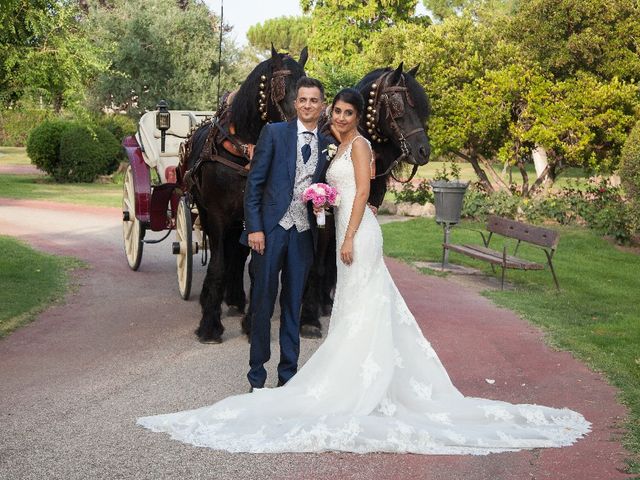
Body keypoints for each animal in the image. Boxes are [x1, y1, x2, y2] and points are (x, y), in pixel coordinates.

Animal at [179, 47, 308, 344]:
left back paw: (236, 299)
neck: (244, 151)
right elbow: (217, 265)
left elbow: (253, 267)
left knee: (236, 255)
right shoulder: (217, 215)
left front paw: (252, 323)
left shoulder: (255, 216)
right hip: (207, 212)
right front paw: (210, 325)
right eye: (280, 86)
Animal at [298, 62, 432, 338]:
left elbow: (333, 261)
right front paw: (309, 319)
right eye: (398, 105)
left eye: (423, 107)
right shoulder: (324, 215)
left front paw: (325, 305)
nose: (423, 151)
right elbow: (317, 264)